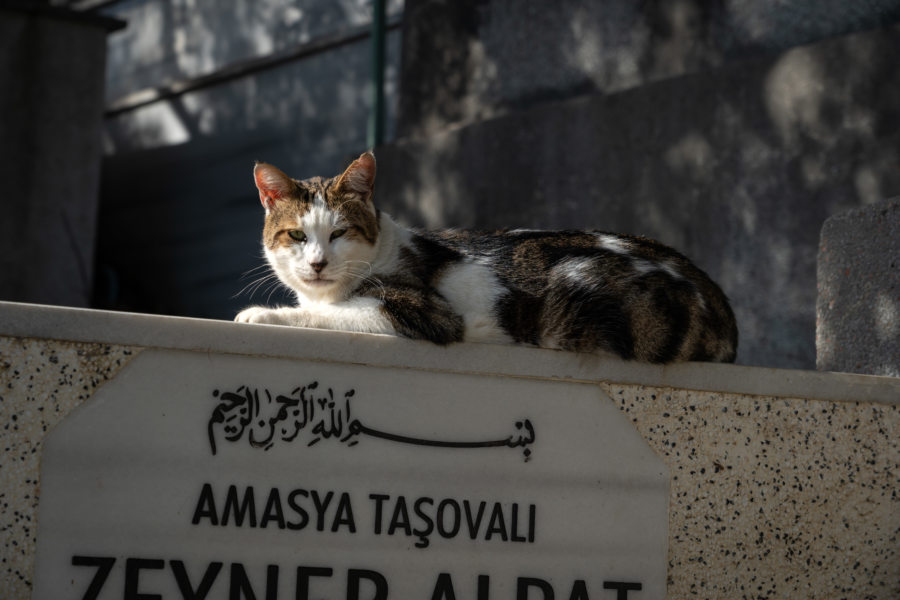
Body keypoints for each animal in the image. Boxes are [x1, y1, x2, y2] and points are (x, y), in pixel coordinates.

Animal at [237, 152, 740, 364]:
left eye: (339, 233)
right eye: (297, 235)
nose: (318, 263)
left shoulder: (425, 314)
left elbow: (334, 313)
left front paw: (260, 314)